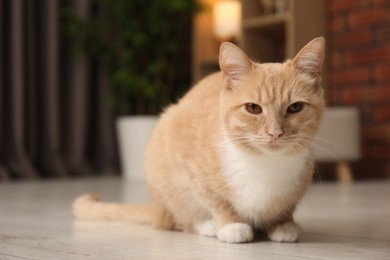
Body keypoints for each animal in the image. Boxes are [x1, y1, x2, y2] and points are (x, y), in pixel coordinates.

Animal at [74, 37, 326, 244]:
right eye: (253, 108)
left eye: (295, 107)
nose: (275, 133)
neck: (265, 165)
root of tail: (155, 207)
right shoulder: (187, 161)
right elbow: (214, 199)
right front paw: (231, 224)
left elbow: (287, 206)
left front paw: (283, 223)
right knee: (176, 219)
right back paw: (207, 225)